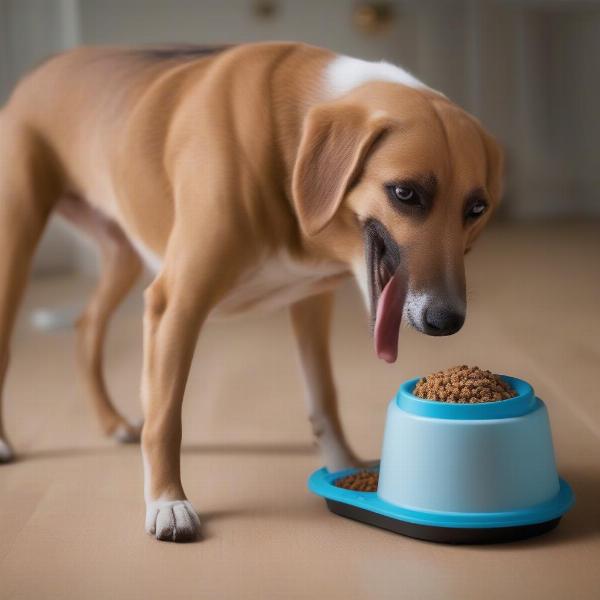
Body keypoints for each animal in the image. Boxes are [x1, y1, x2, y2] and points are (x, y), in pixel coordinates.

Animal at [0, 39, 502, 540]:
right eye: (405, 194)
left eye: (477, 209)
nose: (446, 321)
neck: (290, 146)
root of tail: (43, 70)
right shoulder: (176, 303)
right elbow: (165, 418)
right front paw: (167, 502)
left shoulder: (310, 303)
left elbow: (325, 396)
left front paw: (344, 468)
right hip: (17, 242)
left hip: (123, 255)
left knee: (87, 328)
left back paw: (111, 422)